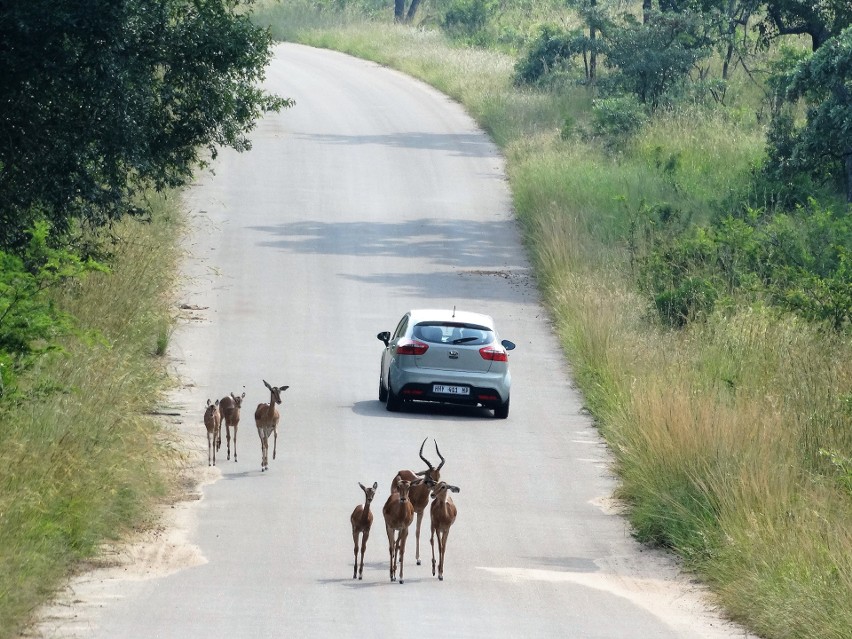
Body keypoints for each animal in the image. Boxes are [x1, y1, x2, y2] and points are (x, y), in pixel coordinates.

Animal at [392, 438, 446, 568]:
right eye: (429, 475)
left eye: (438, 476)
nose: (436, 491)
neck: (418, 493)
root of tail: (401, 471)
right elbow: (405, 532)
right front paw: (400, 556)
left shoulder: (421, 512)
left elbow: (417, 532)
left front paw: (418, 559)